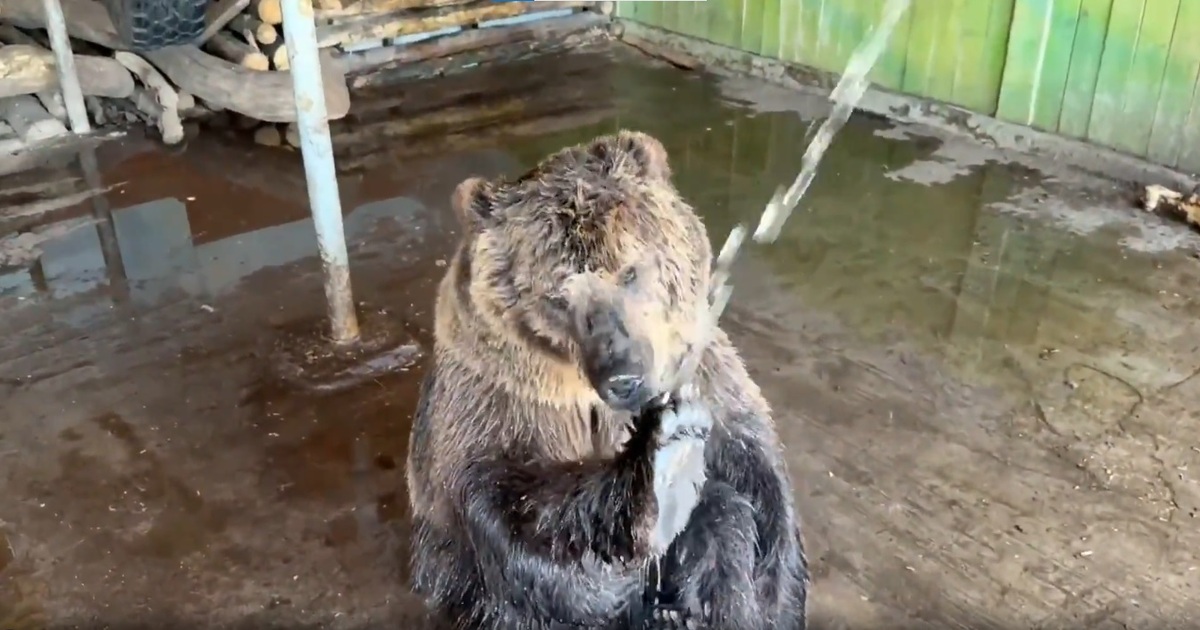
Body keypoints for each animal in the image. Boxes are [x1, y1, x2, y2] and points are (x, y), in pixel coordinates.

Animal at [405, 130, 809, 630]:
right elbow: (511, 508)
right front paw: (660, 478)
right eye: (556, 297)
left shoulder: (709, 374)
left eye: (630, 270)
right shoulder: (493, 400)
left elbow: (755, 469)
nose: (622, 375)